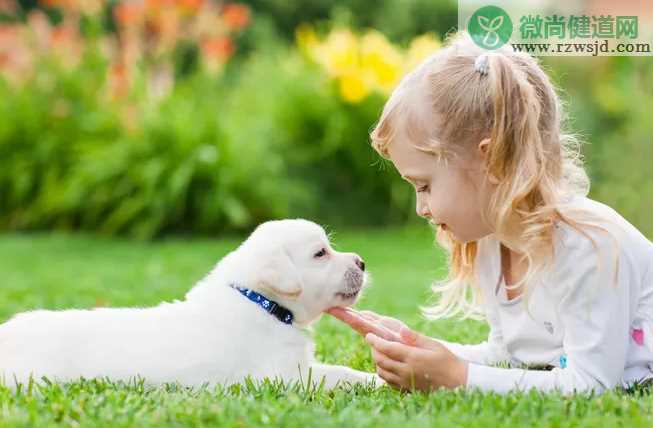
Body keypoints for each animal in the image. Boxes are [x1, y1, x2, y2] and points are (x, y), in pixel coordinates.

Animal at [0, 219, 382, 390]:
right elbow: (335, 375)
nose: (363, 262)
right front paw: (377, 382)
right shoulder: (282, 377)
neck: (261, 303)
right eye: (320, 254)